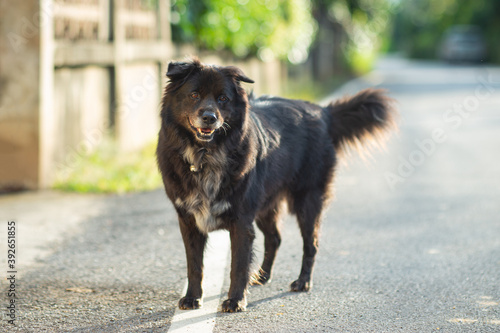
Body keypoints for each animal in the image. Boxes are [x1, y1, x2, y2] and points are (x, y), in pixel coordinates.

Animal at [156, 57, 394, 312]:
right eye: (194, 95)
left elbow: (238, 264)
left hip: (307, 201)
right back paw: (262, 276)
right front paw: (192, 297)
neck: (205, 155)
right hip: (266, 205)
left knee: (311, 244)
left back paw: (302, 282)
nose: (209, 117)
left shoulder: (241, 220)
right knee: (274, 239)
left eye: (223, 99)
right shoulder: (189, 221)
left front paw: (235, 300)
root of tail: (322, 112)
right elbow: (194, 264)